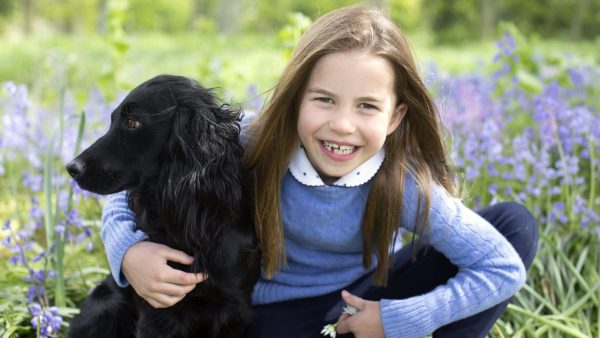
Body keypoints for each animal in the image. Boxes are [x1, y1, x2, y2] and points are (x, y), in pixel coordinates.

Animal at [65, 75, 260, 338]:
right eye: (113, 119)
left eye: (133, 122)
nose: (72, 168)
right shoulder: (159, 311)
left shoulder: (235, 308)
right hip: (106, 304)